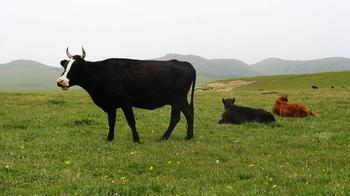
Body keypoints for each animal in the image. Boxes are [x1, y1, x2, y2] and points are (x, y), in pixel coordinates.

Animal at [56, 47, 196, 142]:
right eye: (65, 66)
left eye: (77, 67)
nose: (60, 81)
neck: (101, 74)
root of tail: (186, 63)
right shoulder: (110, 105)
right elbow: (111, 121)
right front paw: (109, 138)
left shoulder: (125, 102)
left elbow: (131, 121)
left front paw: (136, 139)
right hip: (180, 99)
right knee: (189, 113)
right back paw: (188, 136)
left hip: (177, 99)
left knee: (176, 117)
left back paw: (164, 137)